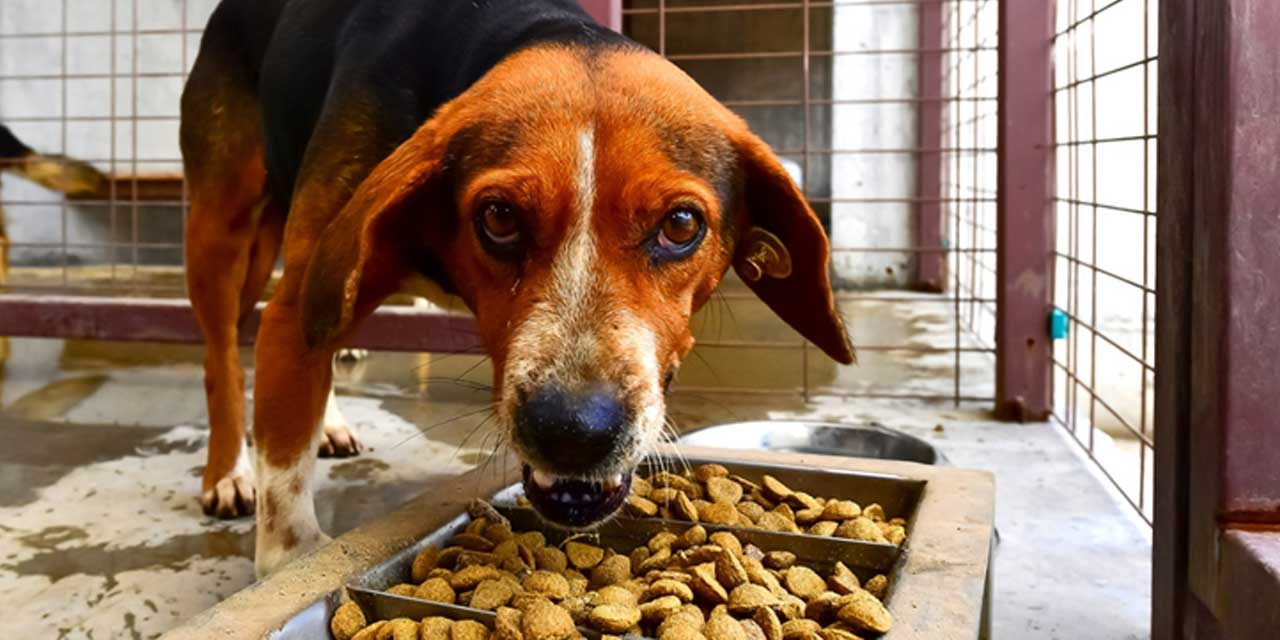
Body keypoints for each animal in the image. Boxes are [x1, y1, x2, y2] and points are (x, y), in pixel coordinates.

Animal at [180, 0, 855, 576]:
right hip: (223, 231)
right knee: (219, 356)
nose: (574, 432)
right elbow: (286, 516)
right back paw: (227, 473)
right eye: (499, 217)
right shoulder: (298, 308)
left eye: (682, 225)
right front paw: (291, 555)